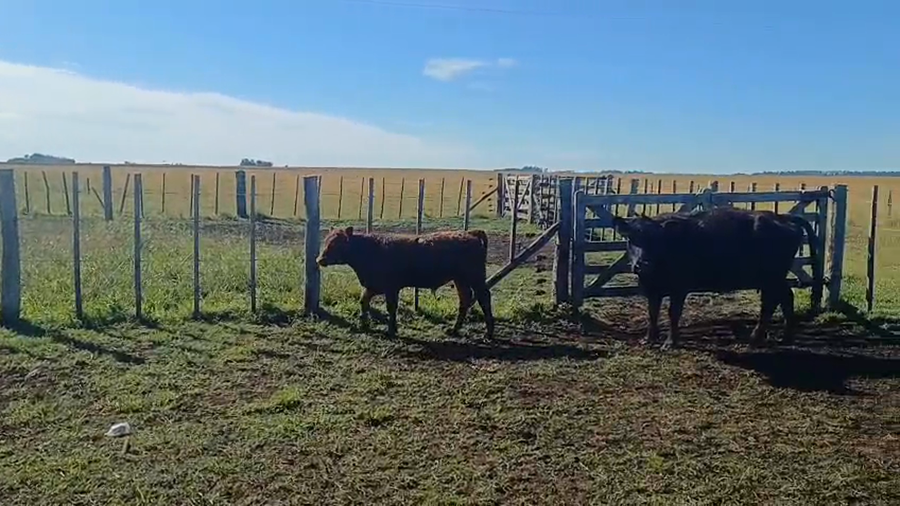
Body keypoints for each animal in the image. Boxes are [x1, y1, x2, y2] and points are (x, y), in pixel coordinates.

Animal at [316, 226, 495, 339]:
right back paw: (454, 330)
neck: (371, 250)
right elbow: (363, 301)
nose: (320, 259)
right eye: (326, 241)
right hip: (460, 280)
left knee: (484, 298)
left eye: (337, 243)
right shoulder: (374, 285)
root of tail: (471, 233)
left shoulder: (391, 287)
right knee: (465, 299)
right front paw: (364, 324)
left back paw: (489, 334)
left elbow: (391, 308)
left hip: (475, 277)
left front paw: (391, 330)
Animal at [611, 206, 820, 350]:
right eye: (631, 238)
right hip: (773, 279)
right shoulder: (652, 289)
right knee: (785, 297)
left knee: (771, 303)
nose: (643, 264)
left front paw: (670, 342)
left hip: (771, 278)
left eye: (656, 239)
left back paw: (756, 338)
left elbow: (673, 314)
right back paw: (784, 337)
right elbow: (652, 313)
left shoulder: (679, 288)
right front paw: (649, 338)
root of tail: (781, 217)